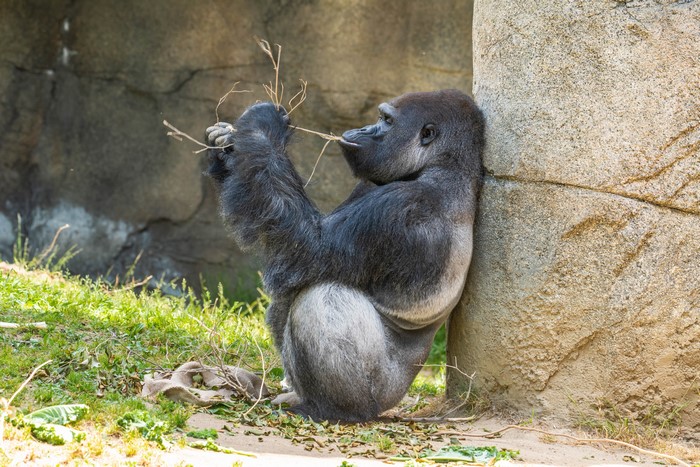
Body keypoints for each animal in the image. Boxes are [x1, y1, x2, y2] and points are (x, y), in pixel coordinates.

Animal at [205, 89, 483, 421]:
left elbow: (310, 247)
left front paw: (261, 127)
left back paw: (331, 409)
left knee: (323, 295)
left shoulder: (402, 208)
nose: (362, 129)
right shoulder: (371, 184)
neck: (443, 167)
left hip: (381, 396)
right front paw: (224, 148)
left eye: (386, 120)